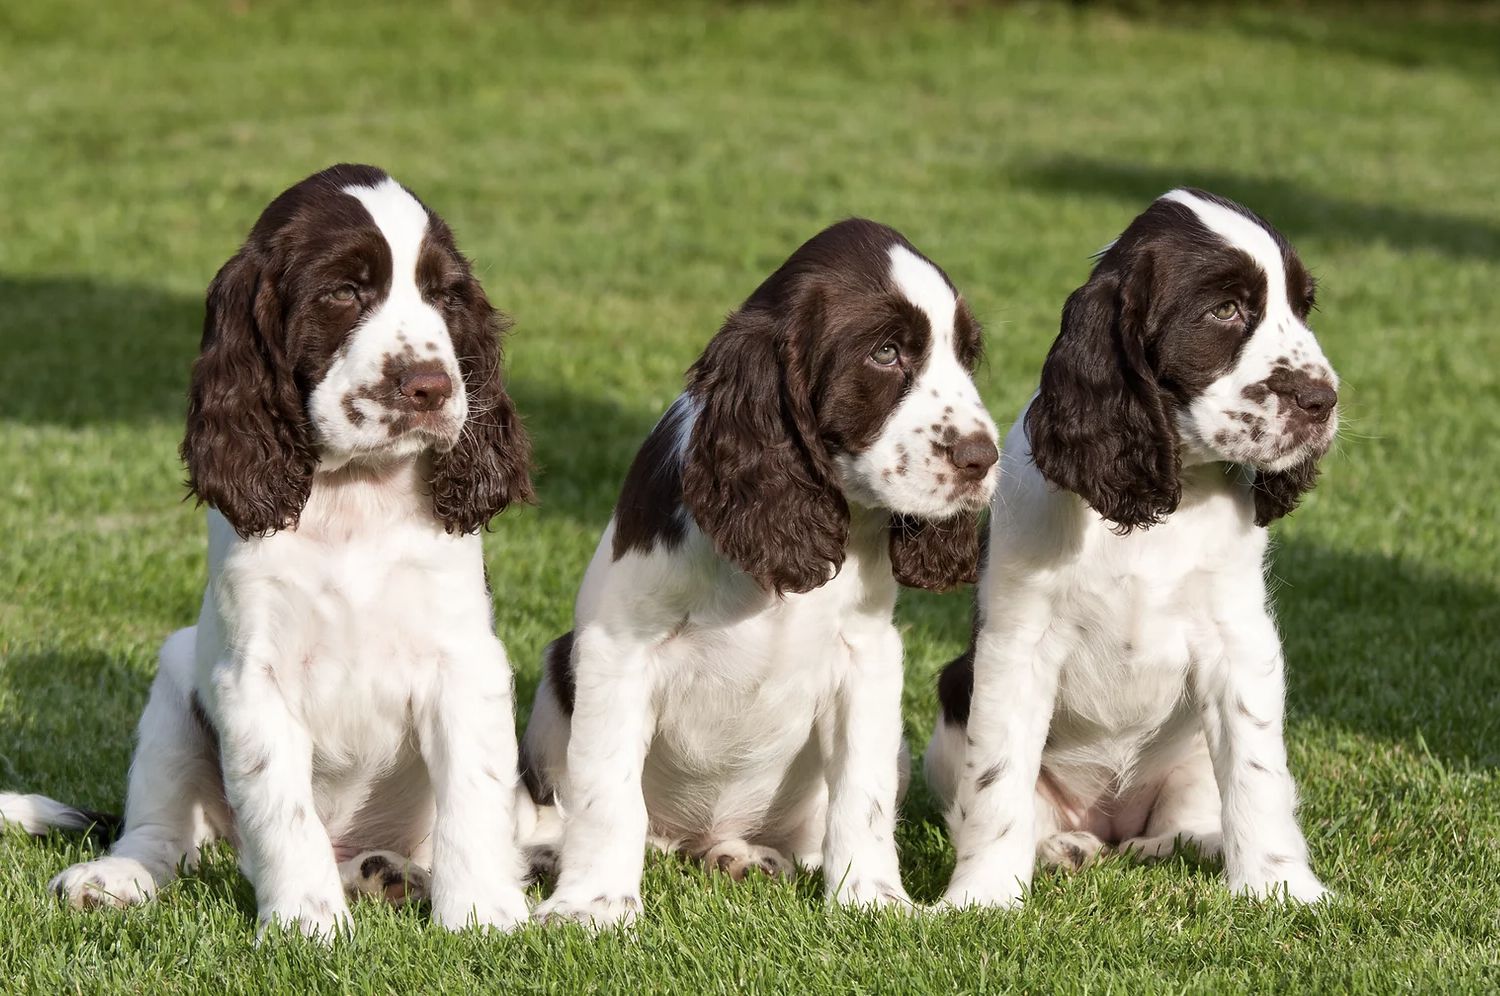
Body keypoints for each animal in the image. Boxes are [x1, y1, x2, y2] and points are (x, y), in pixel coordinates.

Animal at [0, 163, 540, 936]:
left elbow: (474, 796)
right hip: (174, 686)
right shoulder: (252, 676)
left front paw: (484, 918)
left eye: (444, 296)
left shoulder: (466, 661)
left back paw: (393, 875)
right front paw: (306, 926)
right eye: (342, 292)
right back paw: (115, 878)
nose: (432, 388)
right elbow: (283, 810)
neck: (354, 497)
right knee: (163, 836)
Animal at [522, 217, 1002, 924]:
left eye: (967, 356)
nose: (982, 459)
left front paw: (873, 899)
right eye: (886, 352)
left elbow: (862, 792)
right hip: (560, 675)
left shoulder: (868, 657)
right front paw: (594, 905)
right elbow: (606, 791)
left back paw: (745, 856)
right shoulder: (618, 651)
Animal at [930, 189, 1344, 912]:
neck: (1160, 502)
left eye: (1302, 307)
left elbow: (1258, 772)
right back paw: (1060, 848)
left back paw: (1187, 844)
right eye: (1225, 310)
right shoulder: (1016, 646)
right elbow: (997, 778)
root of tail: (1109, 822)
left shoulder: (1239, 639)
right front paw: (982, 896)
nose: (1323, 399)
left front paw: (1280, 887)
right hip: (955, 696)